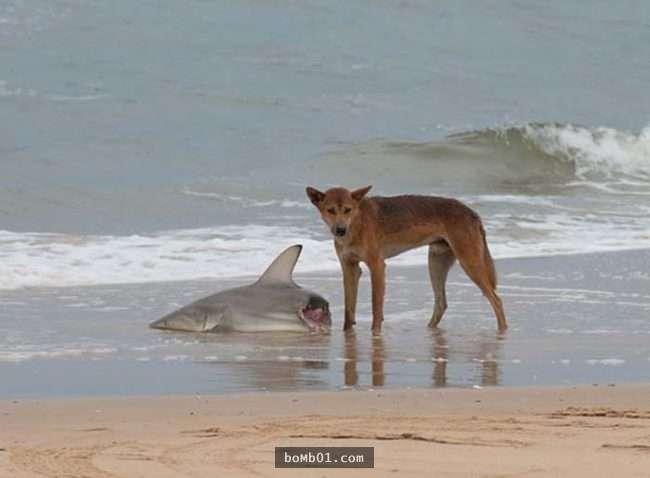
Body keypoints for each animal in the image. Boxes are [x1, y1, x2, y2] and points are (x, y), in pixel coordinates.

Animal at [306, 186, 506, 332]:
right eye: (330, 210)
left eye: (347, 210)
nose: (340, 230)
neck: (356, 224)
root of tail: (473, 214)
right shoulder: (350, 268)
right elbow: (349, 309)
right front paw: (347, 332)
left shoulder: (377, 266)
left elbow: (376, 307)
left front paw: (375, 334)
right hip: (436, 263)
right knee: (441, 303)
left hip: (470, 263)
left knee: (496, 300)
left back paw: (502, 331)